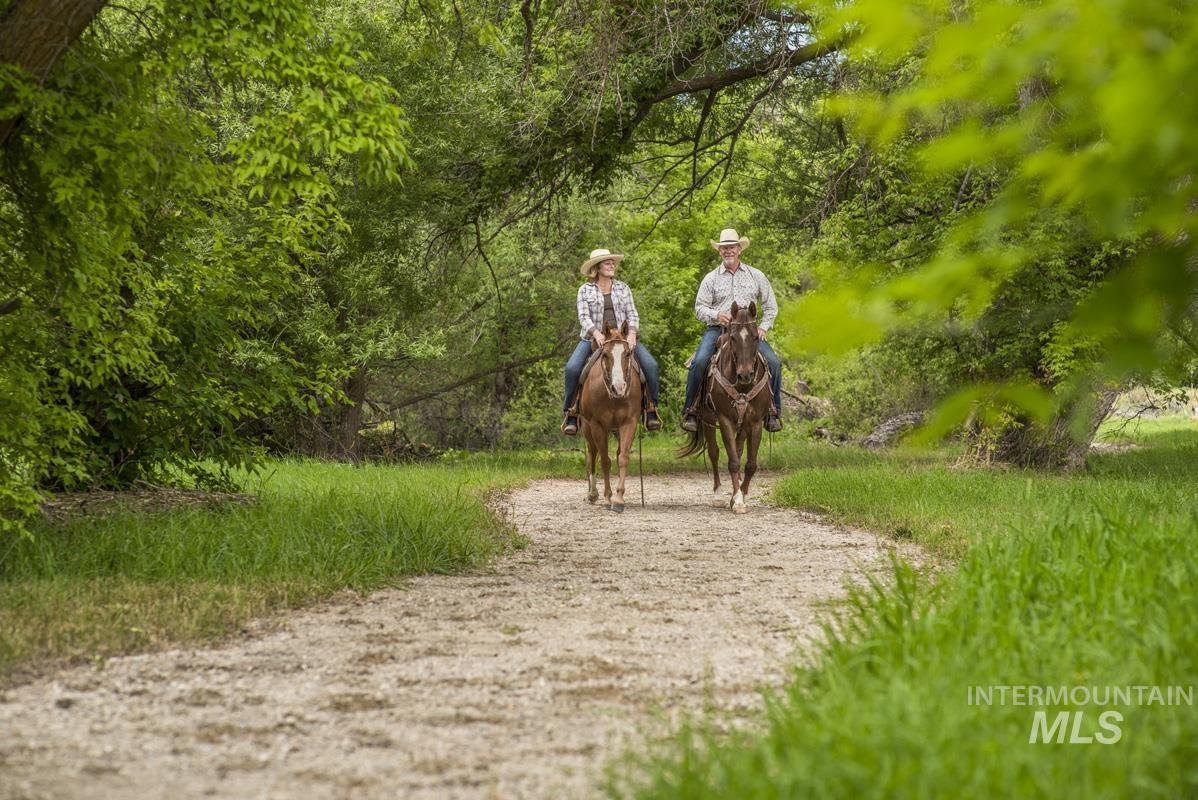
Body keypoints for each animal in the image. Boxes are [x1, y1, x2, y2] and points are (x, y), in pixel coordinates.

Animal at [575, 320, 642, 512]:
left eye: (627, 353)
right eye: (605, 354)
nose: (618, 387)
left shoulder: (629, 423)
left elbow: (623, 458)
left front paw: (619, 498)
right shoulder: (597, 425)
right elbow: (605, 460)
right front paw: (607, 496)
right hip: (587, 429)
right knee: (592, 455)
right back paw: (592, 493)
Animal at [680, 299, 771, 512]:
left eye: (756, 337)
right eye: (733, 337)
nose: (745, 375)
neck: (743, 387)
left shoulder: (755, 422)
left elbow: (750, 464)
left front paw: (741, 496)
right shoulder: (725, 420)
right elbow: (733, 462)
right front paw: (737, 501)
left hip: (743, 424)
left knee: (737, 449)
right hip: (707, 419)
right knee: (714, 453)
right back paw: (718, 494)